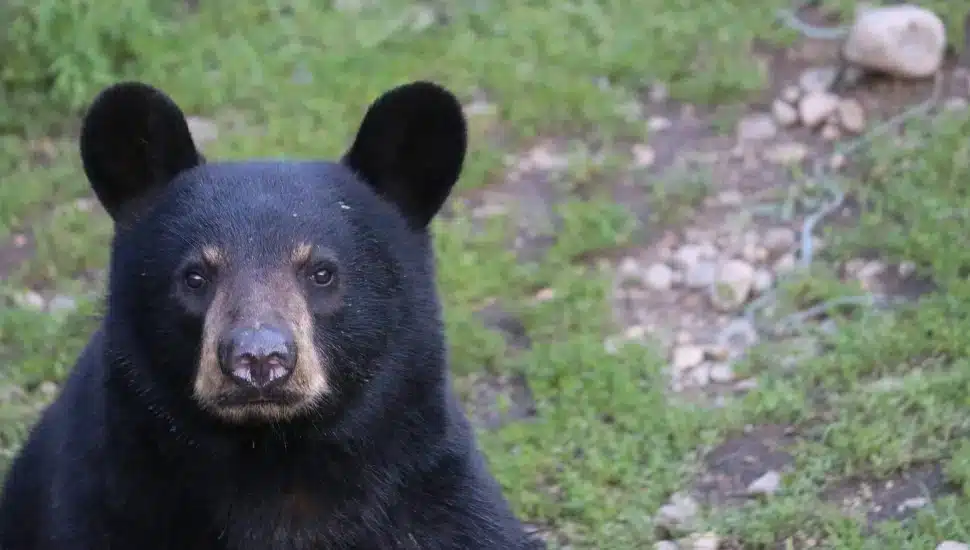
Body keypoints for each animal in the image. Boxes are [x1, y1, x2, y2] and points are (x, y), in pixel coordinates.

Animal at [0, 80, 539, 550]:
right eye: (195, 276)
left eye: (322, 272)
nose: (258, 359)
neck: (275, 459)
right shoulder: (104, 498)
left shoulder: (436, 495)